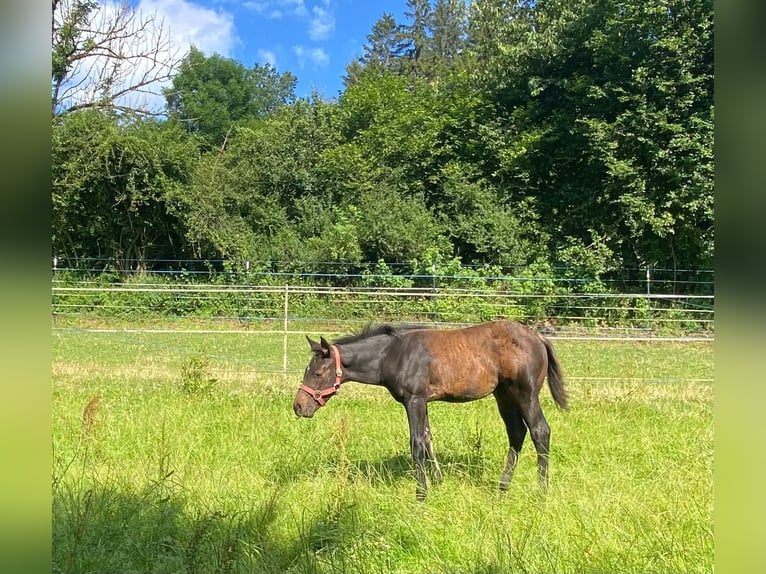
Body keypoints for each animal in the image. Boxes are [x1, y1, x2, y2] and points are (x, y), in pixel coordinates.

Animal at [294, 322, 568, 502]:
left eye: (317, 373)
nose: (298, 406)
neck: (393, 354)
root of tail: (538, 338)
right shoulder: (423, 401)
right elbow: (427, 438)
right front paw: (438, 481)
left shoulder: (414, 399)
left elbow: (416, 443)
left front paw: (421, 494)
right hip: (503, 395)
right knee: (516, 432)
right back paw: (503, 486)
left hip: (525, 394)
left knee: (540, 431)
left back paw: (541, 491)